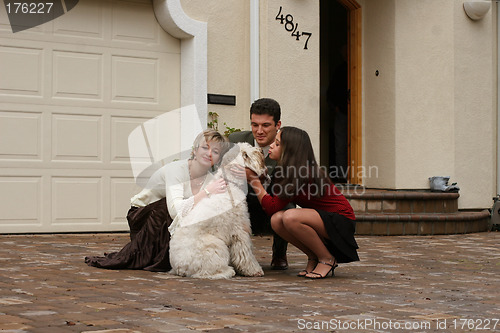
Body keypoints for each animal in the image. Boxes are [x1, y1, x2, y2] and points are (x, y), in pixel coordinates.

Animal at [168, 142, 268, 278]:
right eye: (245, 155)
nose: (261, 151)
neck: (230, 184)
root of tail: (179, 268)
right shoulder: (240, 231)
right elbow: (245, 253)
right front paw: (254, 270)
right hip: (216, 246)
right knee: (207, 272)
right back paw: (228, 271)